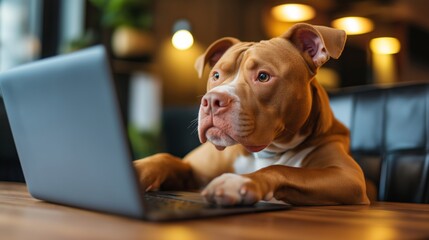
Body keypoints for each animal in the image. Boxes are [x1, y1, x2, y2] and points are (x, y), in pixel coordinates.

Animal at [135, 23, 372, 206]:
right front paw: (137, 169)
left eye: (263, 76)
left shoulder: (346, 176)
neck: (266, 152)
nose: (212, 101)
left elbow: (284, 170)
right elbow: (166, 158)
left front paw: (240, 182)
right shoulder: (194, 169)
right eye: (216, 75)